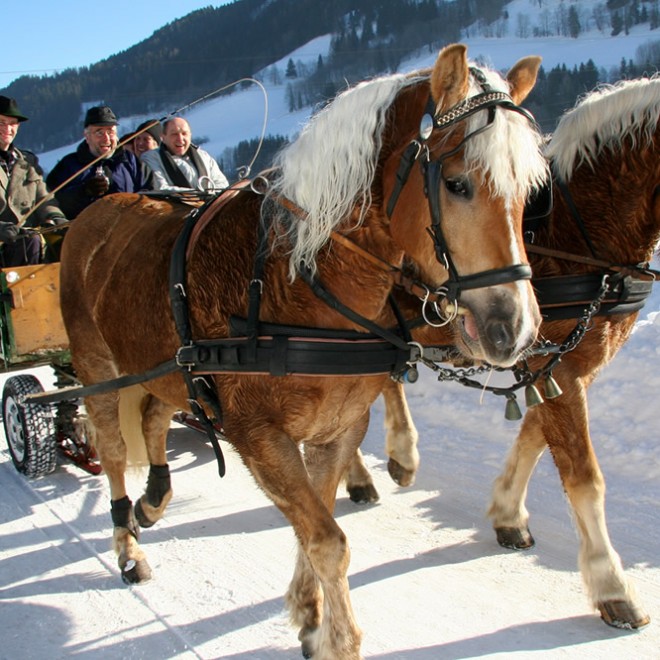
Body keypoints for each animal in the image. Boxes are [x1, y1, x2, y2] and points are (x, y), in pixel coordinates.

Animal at [58, 43, 548, 656]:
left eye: (529, 190)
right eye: (456, 183)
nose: (515, 326)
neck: (296, 280)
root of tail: (98, 211)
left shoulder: (339, 428)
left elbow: (314, 521)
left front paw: (308, 612)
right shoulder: (259, 435)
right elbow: (326, 540)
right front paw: (338, 636)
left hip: (160, 366)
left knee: (151, 415)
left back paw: (154, 499)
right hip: (98, 366)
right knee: (114, 450)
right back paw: (127, 545)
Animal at [348, 75, 656, 632]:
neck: (579, 228)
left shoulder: (560, 363)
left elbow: (534, 435)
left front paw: (508, 512)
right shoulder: (557, 364)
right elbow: (583, 475)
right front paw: (612, 585)